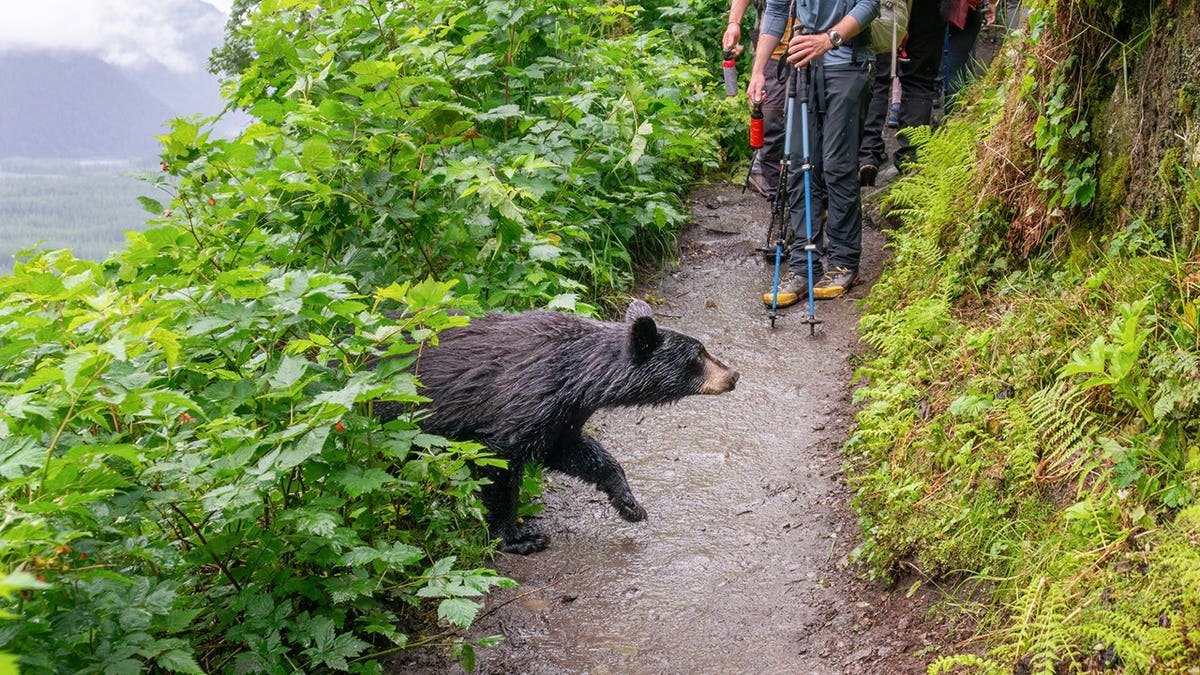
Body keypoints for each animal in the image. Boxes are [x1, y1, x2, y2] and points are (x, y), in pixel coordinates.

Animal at [375, 299, 739, 554]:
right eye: (698, 354)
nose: (733, 375)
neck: (575, 374)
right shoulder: (525, 398)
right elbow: (499, 462)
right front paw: (517, 538)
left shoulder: (562, 414)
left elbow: (575, 452)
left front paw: (629, 504)